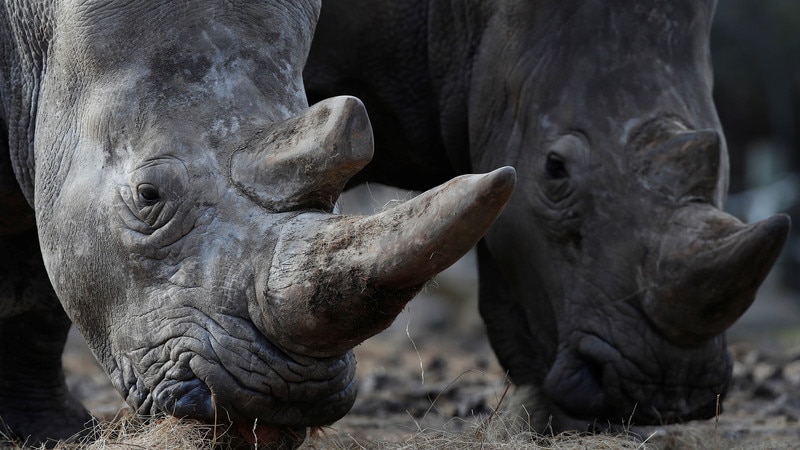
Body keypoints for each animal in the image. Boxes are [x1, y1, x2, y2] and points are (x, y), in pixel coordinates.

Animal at [0, 0, 515, 447]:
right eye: (149, 195)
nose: (289, 395)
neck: (35, 34)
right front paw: (57, 434)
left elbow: (38, 296)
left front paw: (54, 433)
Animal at [304, 0, 791, 430]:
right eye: (555, 169)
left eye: (721, 159)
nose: (670, 391)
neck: (462, 18)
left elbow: (509, 289)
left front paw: (550, 425)